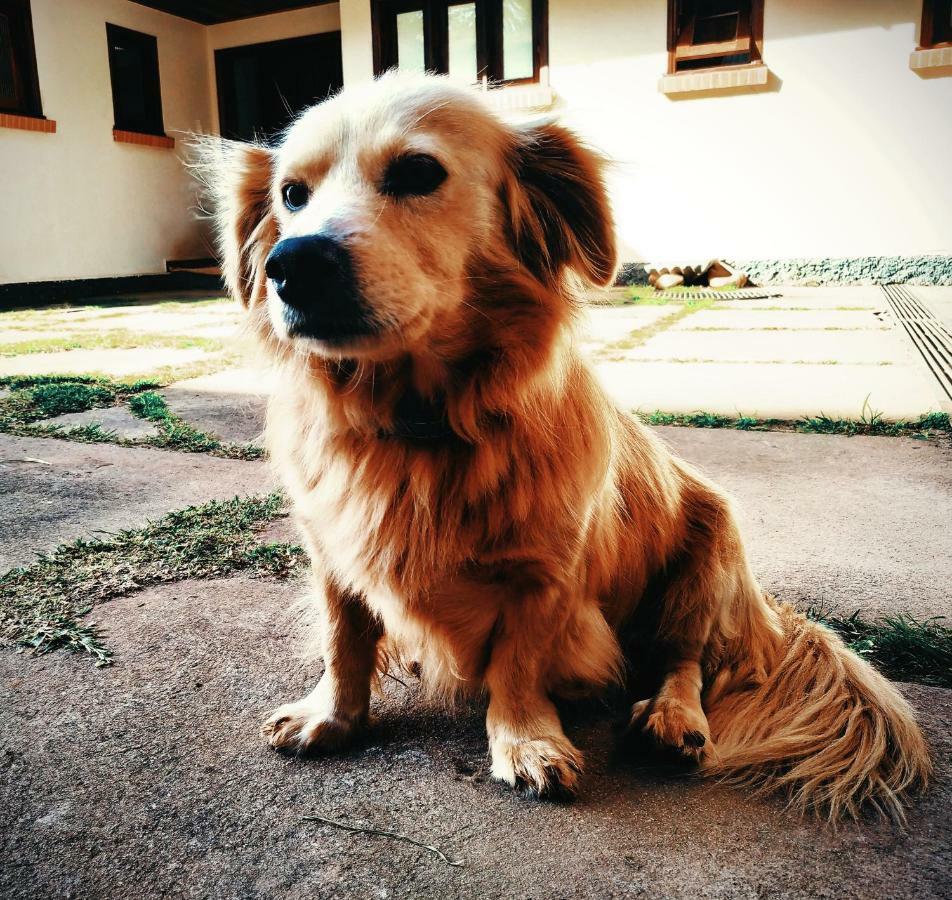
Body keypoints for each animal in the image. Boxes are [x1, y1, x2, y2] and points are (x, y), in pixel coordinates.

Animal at [197, 70, 932, 816]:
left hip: (706, 562)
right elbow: (343, 641)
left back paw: (673, 719)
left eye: (418, 172)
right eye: (292, 194)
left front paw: (525, 742)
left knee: (684, 661)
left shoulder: (544, 573)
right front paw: (332, 715)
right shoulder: (332, 557)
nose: (292, 265)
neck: (419, 423)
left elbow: (517, 665)